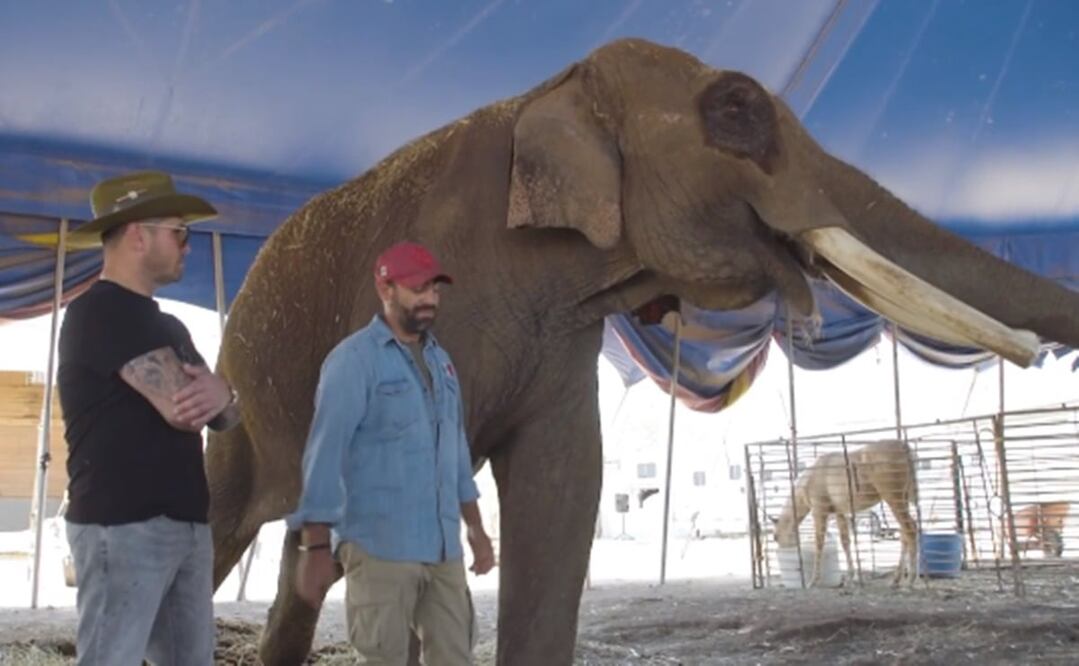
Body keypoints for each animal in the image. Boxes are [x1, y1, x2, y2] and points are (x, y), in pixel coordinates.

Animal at [205, 38, 1079, 664]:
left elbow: (562, 489)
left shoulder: (558, 339)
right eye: (736, 109)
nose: (1043, 353)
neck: (543, 91)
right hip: (236, 398)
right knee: (222, 523)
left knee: (299, 563)